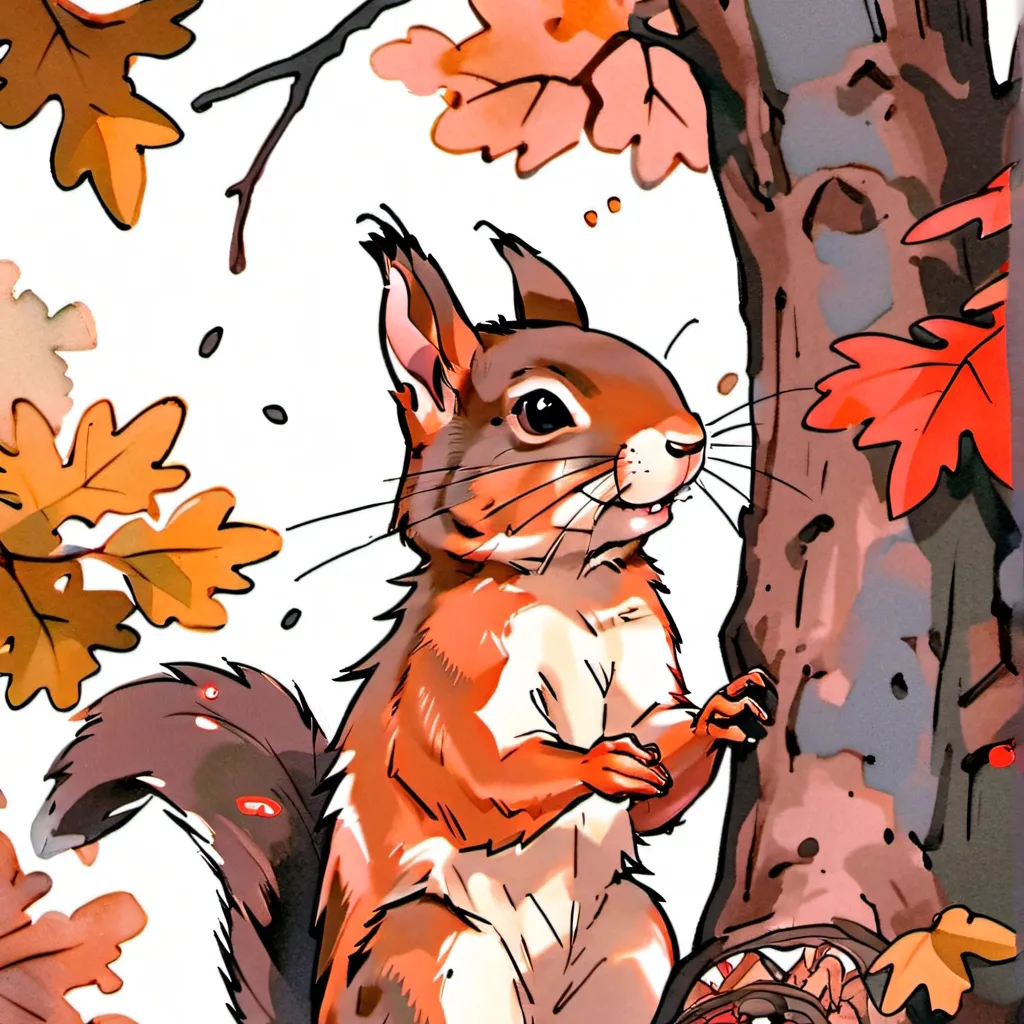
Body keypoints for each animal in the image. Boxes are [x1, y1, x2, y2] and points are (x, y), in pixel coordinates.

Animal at [30, 213, 774, 1024]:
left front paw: (723, 713)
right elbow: (477, 775)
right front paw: (597, 762)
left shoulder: (643, 657)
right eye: (541, 410)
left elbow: (663, 773)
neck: (572, 586)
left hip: (630, 944)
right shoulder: (445, 678)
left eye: (653, 363)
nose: (688, 439)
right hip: (431, 956)